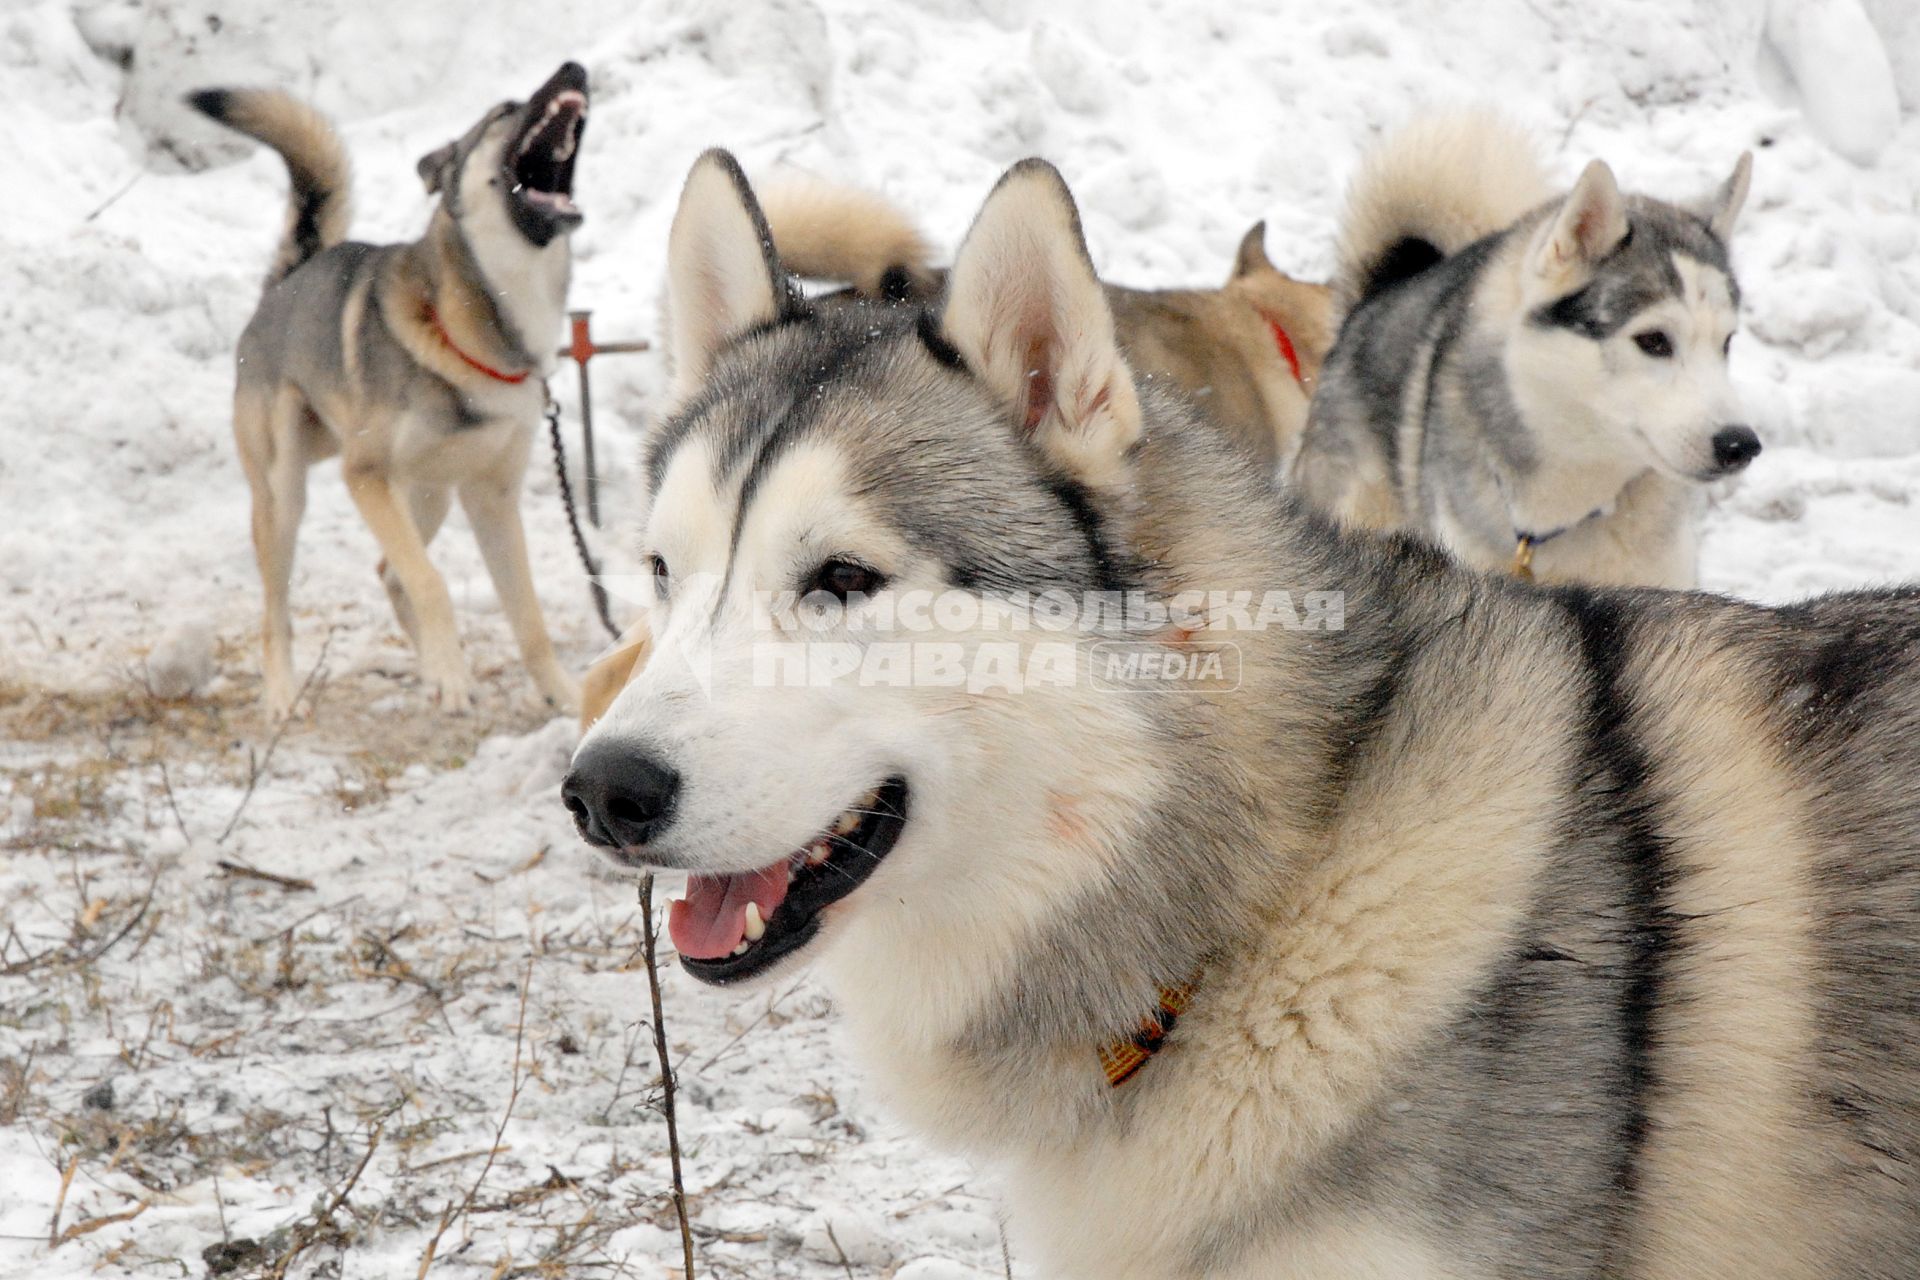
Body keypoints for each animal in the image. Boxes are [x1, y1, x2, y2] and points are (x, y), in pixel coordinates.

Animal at [192, 67, 591, 721]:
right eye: (503, 111)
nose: (574, 68)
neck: (476, 332)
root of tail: (286, 280)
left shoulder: (492, 498)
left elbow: (527, 616)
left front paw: (565, 695)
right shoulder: (365, 475)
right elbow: (434, 583)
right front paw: (452, 676)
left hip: (429, 497)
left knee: (390, 572)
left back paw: (430, 667)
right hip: (285, 494)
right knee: (281, 611)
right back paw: (283, 694)